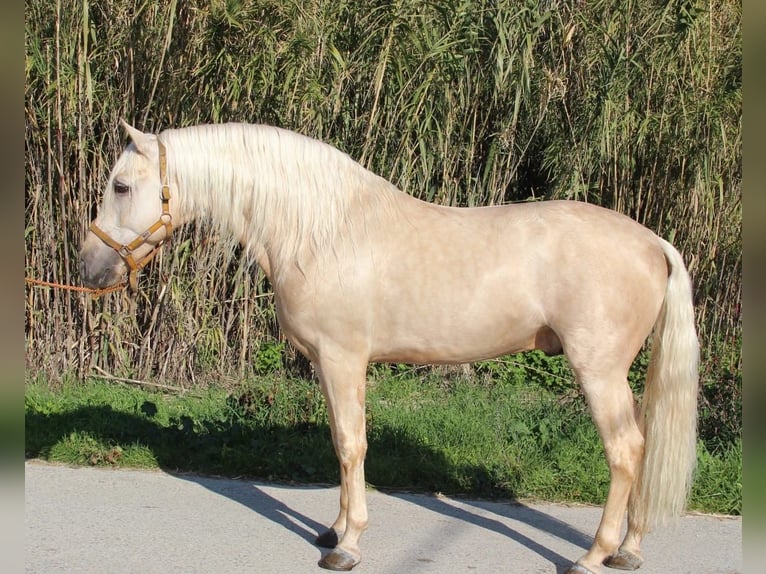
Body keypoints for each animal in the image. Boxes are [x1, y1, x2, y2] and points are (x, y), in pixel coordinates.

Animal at [79, 119, 704, 572]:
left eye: (121, 185)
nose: (90, 266)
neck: (322, 231)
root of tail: (654, 243)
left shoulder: (343, 359)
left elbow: (351, 445)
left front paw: (347, 545)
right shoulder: (328, 364)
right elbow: (339, 443)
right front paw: (333, 528)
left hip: (598, 370)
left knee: (625, 451)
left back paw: (594, 555)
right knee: (642, 448)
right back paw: (629, 550)